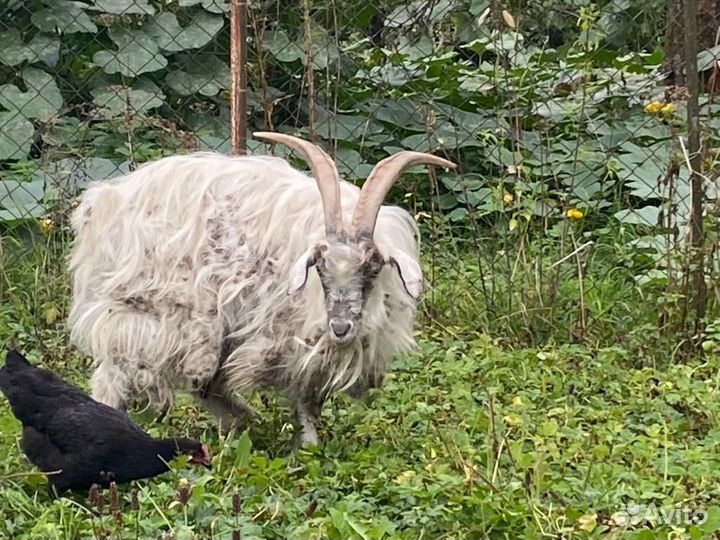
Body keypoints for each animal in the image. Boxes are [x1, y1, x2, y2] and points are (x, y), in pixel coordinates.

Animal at [68, 132, 455, 445]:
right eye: (319, 266)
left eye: (373, 266)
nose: (340, 327)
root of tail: (103, 202)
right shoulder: (287, 336)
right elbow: (302, 395)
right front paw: (309, 446)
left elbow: (306, 400)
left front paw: (307, 446)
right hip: (145, 314)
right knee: (115, 378)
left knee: (204, 384)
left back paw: (244, 421)